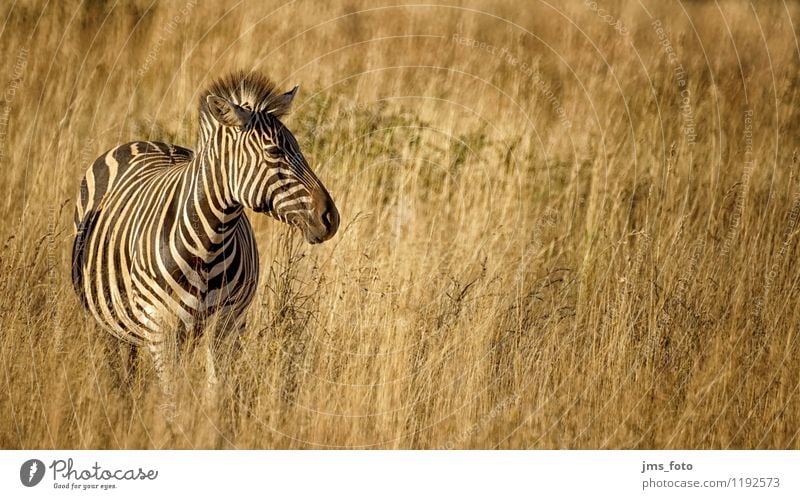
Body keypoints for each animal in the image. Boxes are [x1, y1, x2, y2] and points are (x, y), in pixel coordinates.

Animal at [70, 71, 340, 410]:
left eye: (299, 148)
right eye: (275, 152)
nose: (331, 218)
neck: (208, 243)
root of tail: (146, 141)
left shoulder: (226, 327)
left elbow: (216, 397)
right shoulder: (161, 330)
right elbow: (171, 401)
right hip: (107, 321)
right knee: (120, 369)